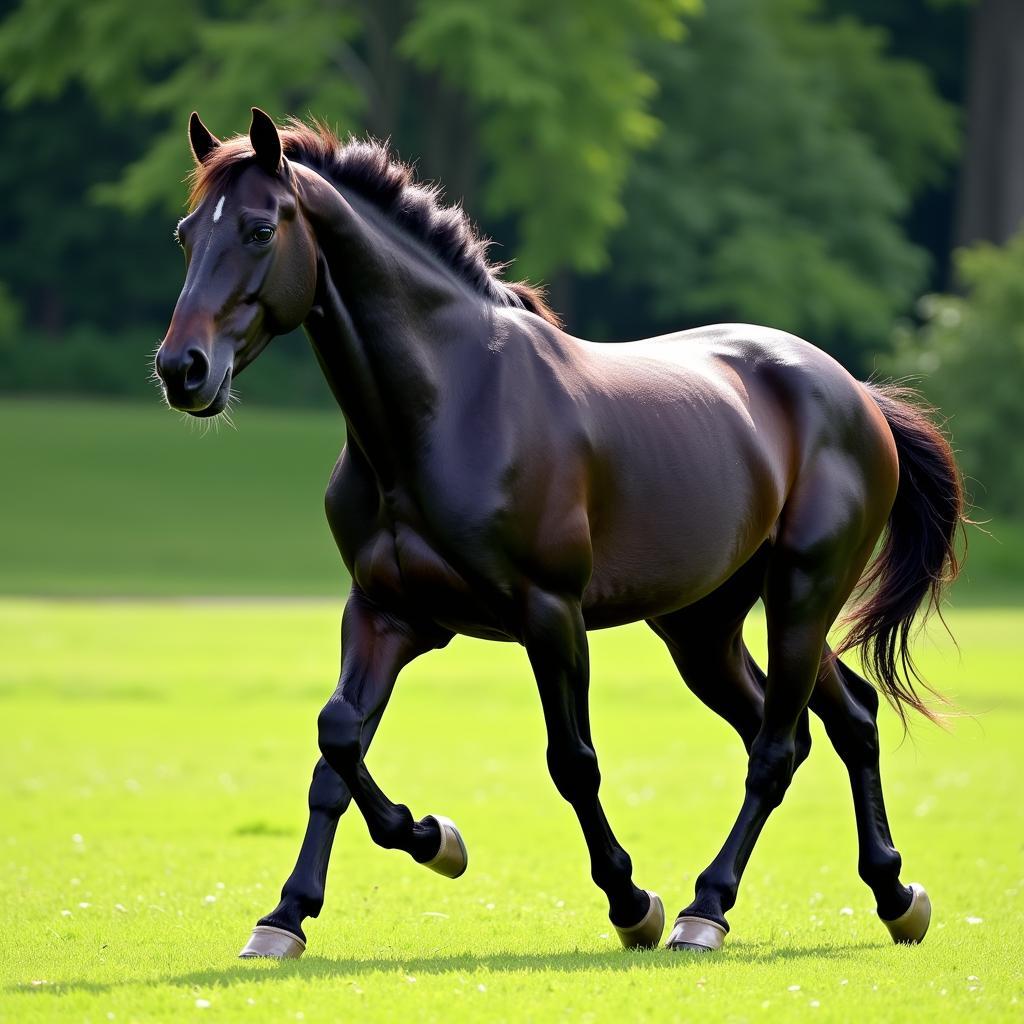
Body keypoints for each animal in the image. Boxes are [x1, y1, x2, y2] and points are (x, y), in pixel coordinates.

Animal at [155, 112, 962, 958]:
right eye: (186, 233)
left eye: (258, 229)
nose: (182, 369)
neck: (448, 405)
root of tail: (856, 393)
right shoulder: (386, 614)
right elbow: (336, 744)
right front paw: (335, 890)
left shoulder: (549, 615)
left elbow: (573, 763)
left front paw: (631, 902)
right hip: (704, 627)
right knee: (838, 721)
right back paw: (893, 895)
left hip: (802, 595)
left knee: (777, 748)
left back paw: (705, 909)